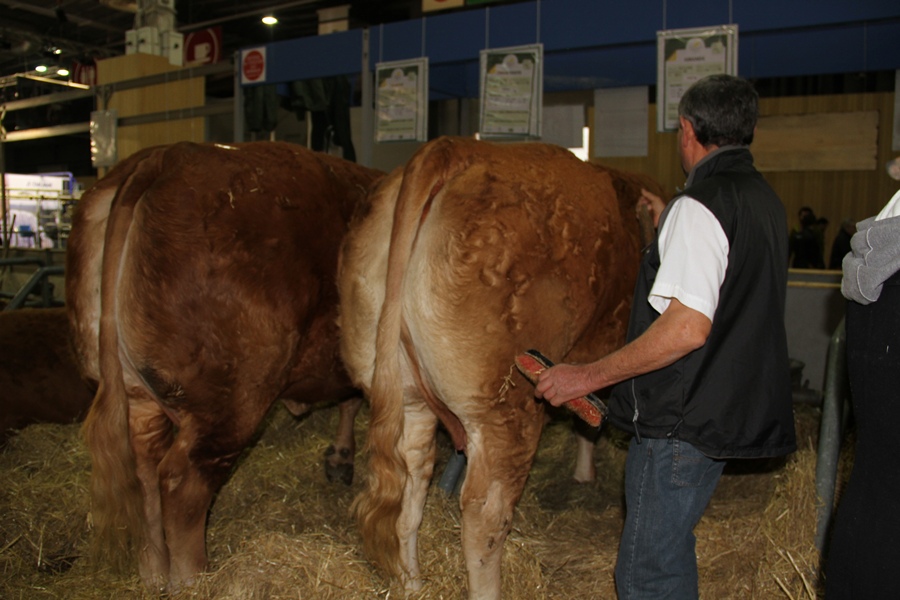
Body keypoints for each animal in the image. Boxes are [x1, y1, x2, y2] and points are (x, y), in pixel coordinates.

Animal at [66, 141, 384, 592]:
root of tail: (166, 155)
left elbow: (351, 400)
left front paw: (340, 458)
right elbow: (355, 400)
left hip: (134, 392)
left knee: (144, 474)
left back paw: (153, 573)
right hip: (231, 398)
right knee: (181, 482)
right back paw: (193, 578)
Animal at [338, 137, 660, 600]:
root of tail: (450, 149)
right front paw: (586, 472)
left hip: (405, 392)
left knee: (411, 478)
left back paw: (413, 583)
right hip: (507, 407)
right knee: (484, 514)